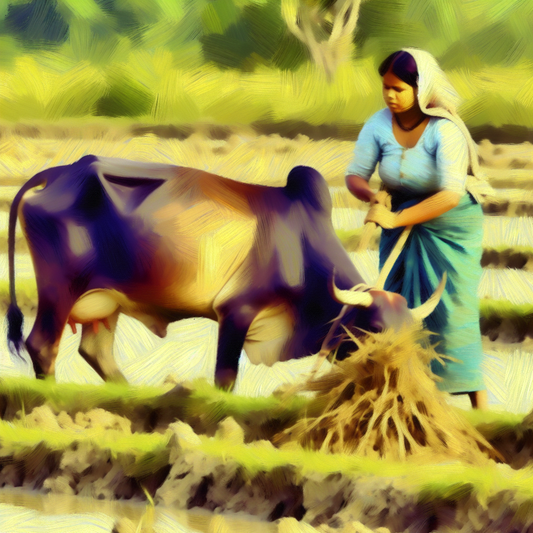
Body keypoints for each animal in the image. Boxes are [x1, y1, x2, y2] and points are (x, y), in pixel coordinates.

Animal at [6, 156, 442, 388]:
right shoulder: (237, 311)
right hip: (60, 290)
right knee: (42, 345)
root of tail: (61, 171)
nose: (403, 374)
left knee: (96, 351)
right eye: (377, 329)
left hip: (106, 300)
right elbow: (226, 377)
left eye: (412, 333)